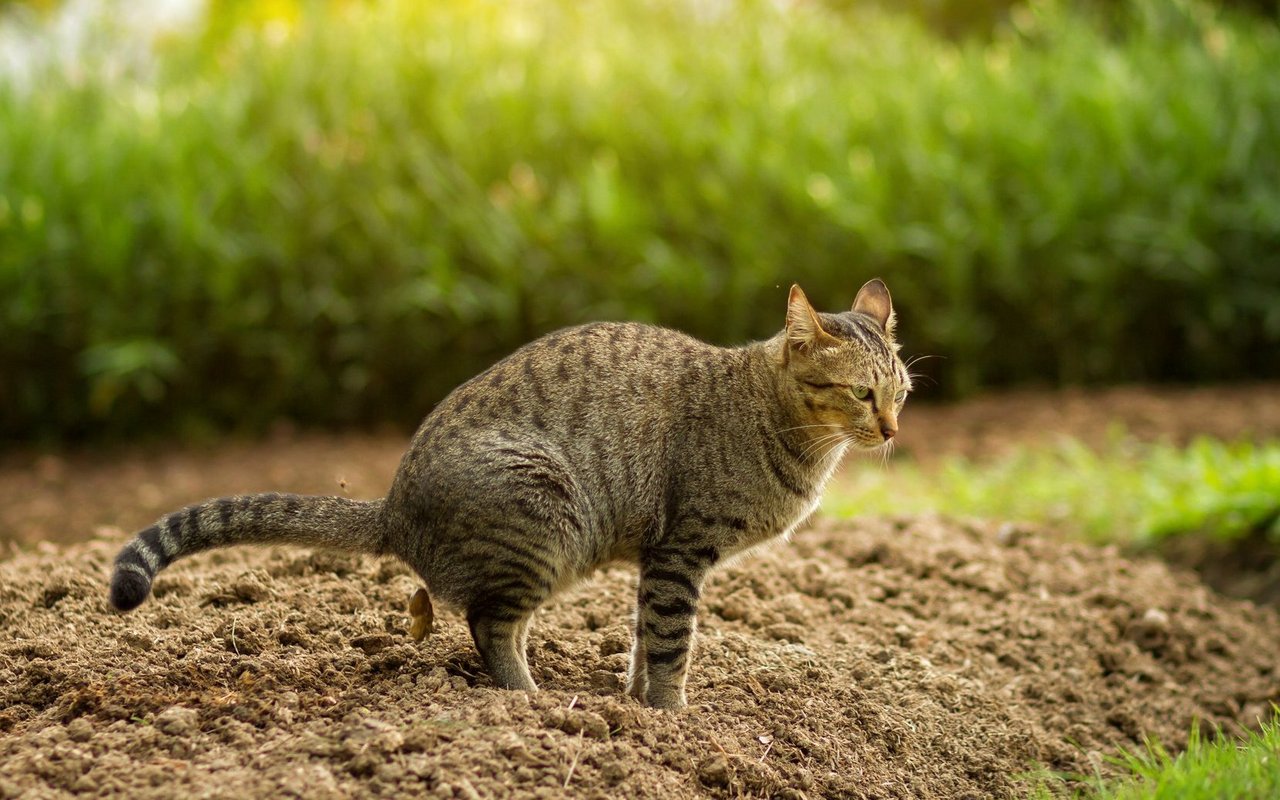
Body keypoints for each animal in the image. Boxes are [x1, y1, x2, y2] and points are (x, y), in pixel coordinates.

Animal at [110, 277, 911, 706]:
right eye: (860, 392)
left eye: (902, 388)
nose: (893, 429)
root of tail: (394, 507)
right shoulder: (680, 553)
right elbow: (669, 643)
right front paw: (670, 718)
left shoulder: (658, 561)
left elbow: (641, 640)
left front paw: (634, 704)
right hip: (545, 520)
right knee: (490, 625)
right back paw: (530, 704)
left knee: (502, 622)